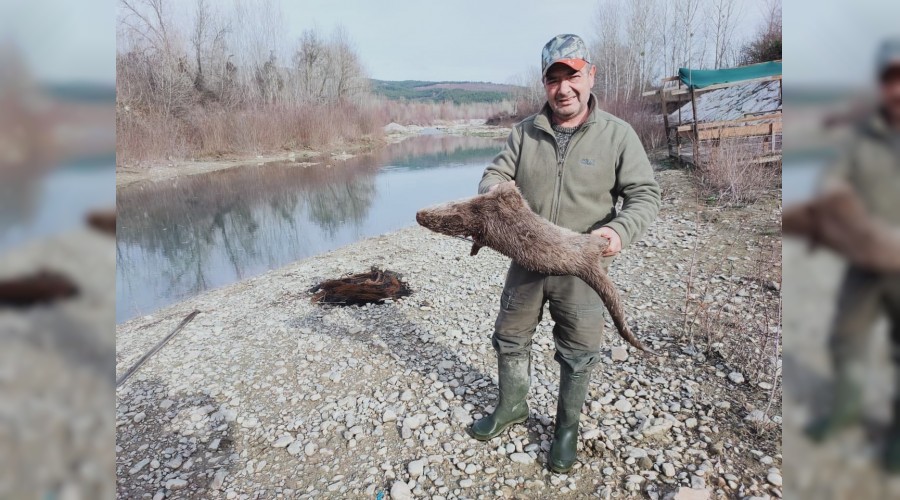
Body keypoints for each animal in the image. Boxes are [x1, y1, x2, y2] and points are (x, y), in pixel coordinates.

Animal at [414, 182, 652, 354]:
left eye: (431, 218)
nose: (418, 215)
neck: (482, 215)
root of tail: (586, 263)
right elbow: (509, 194)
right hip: (588, 246)